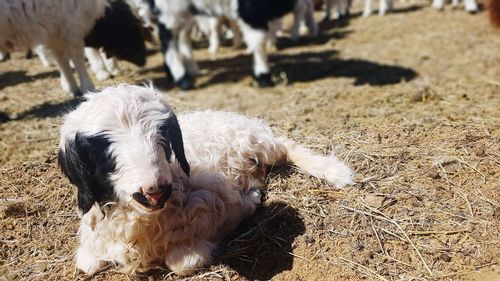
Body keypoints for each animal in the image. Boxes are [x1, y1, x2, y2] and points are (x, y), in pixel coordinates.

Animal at [58, 83, 354, 276]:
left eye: (163, 133)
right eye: (100, 146)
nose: (156, 190)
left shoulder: (218, 202)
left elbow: (182, 263)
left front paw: (250, 201)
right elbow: (87, 264)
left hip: (258, 142)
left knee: (285, 147)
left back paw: (334, 171)